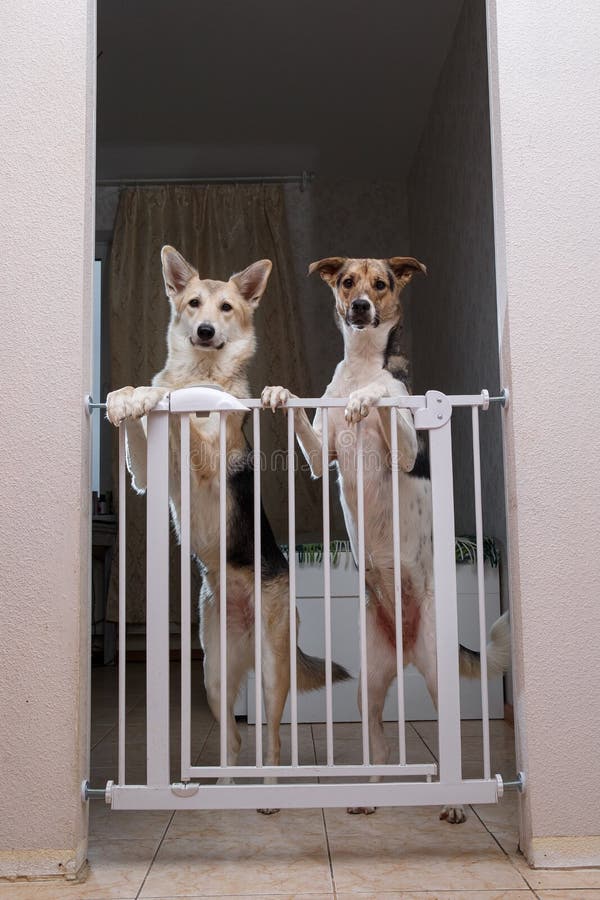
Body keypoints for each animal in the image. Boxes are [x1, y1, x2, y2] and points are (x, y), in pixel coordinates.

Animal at [107, 248, 350, 808]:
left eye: (226, 308)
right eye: (194, 303)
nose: (204, 331)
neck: (202, 370)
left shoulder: (211, 460)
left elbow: (185, 416)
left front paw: (167, 400)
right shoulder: (145, 477)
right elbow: (150, 408)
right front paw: (128, 398)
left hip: (274, 672)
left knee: (274, 740)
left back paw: (269, 794)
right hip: (214, 675)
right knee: (234, 739)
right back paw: (221, 789)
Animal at [264, 258, 510, 824]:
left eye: (381, 284)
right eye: (346, 282)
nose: (359, 307)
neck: (359, 365)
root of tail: (406, 642)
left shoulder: (406, 445)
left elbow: (384, 400)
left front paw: (369, 397)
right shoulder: (320, 457)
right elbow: (306, 425)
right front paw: (280, 395)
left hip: (440, 675)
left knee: (448, 750)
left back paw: (455, 804)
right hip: (370, 683)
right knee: (378, 742)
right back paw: (369, 794)